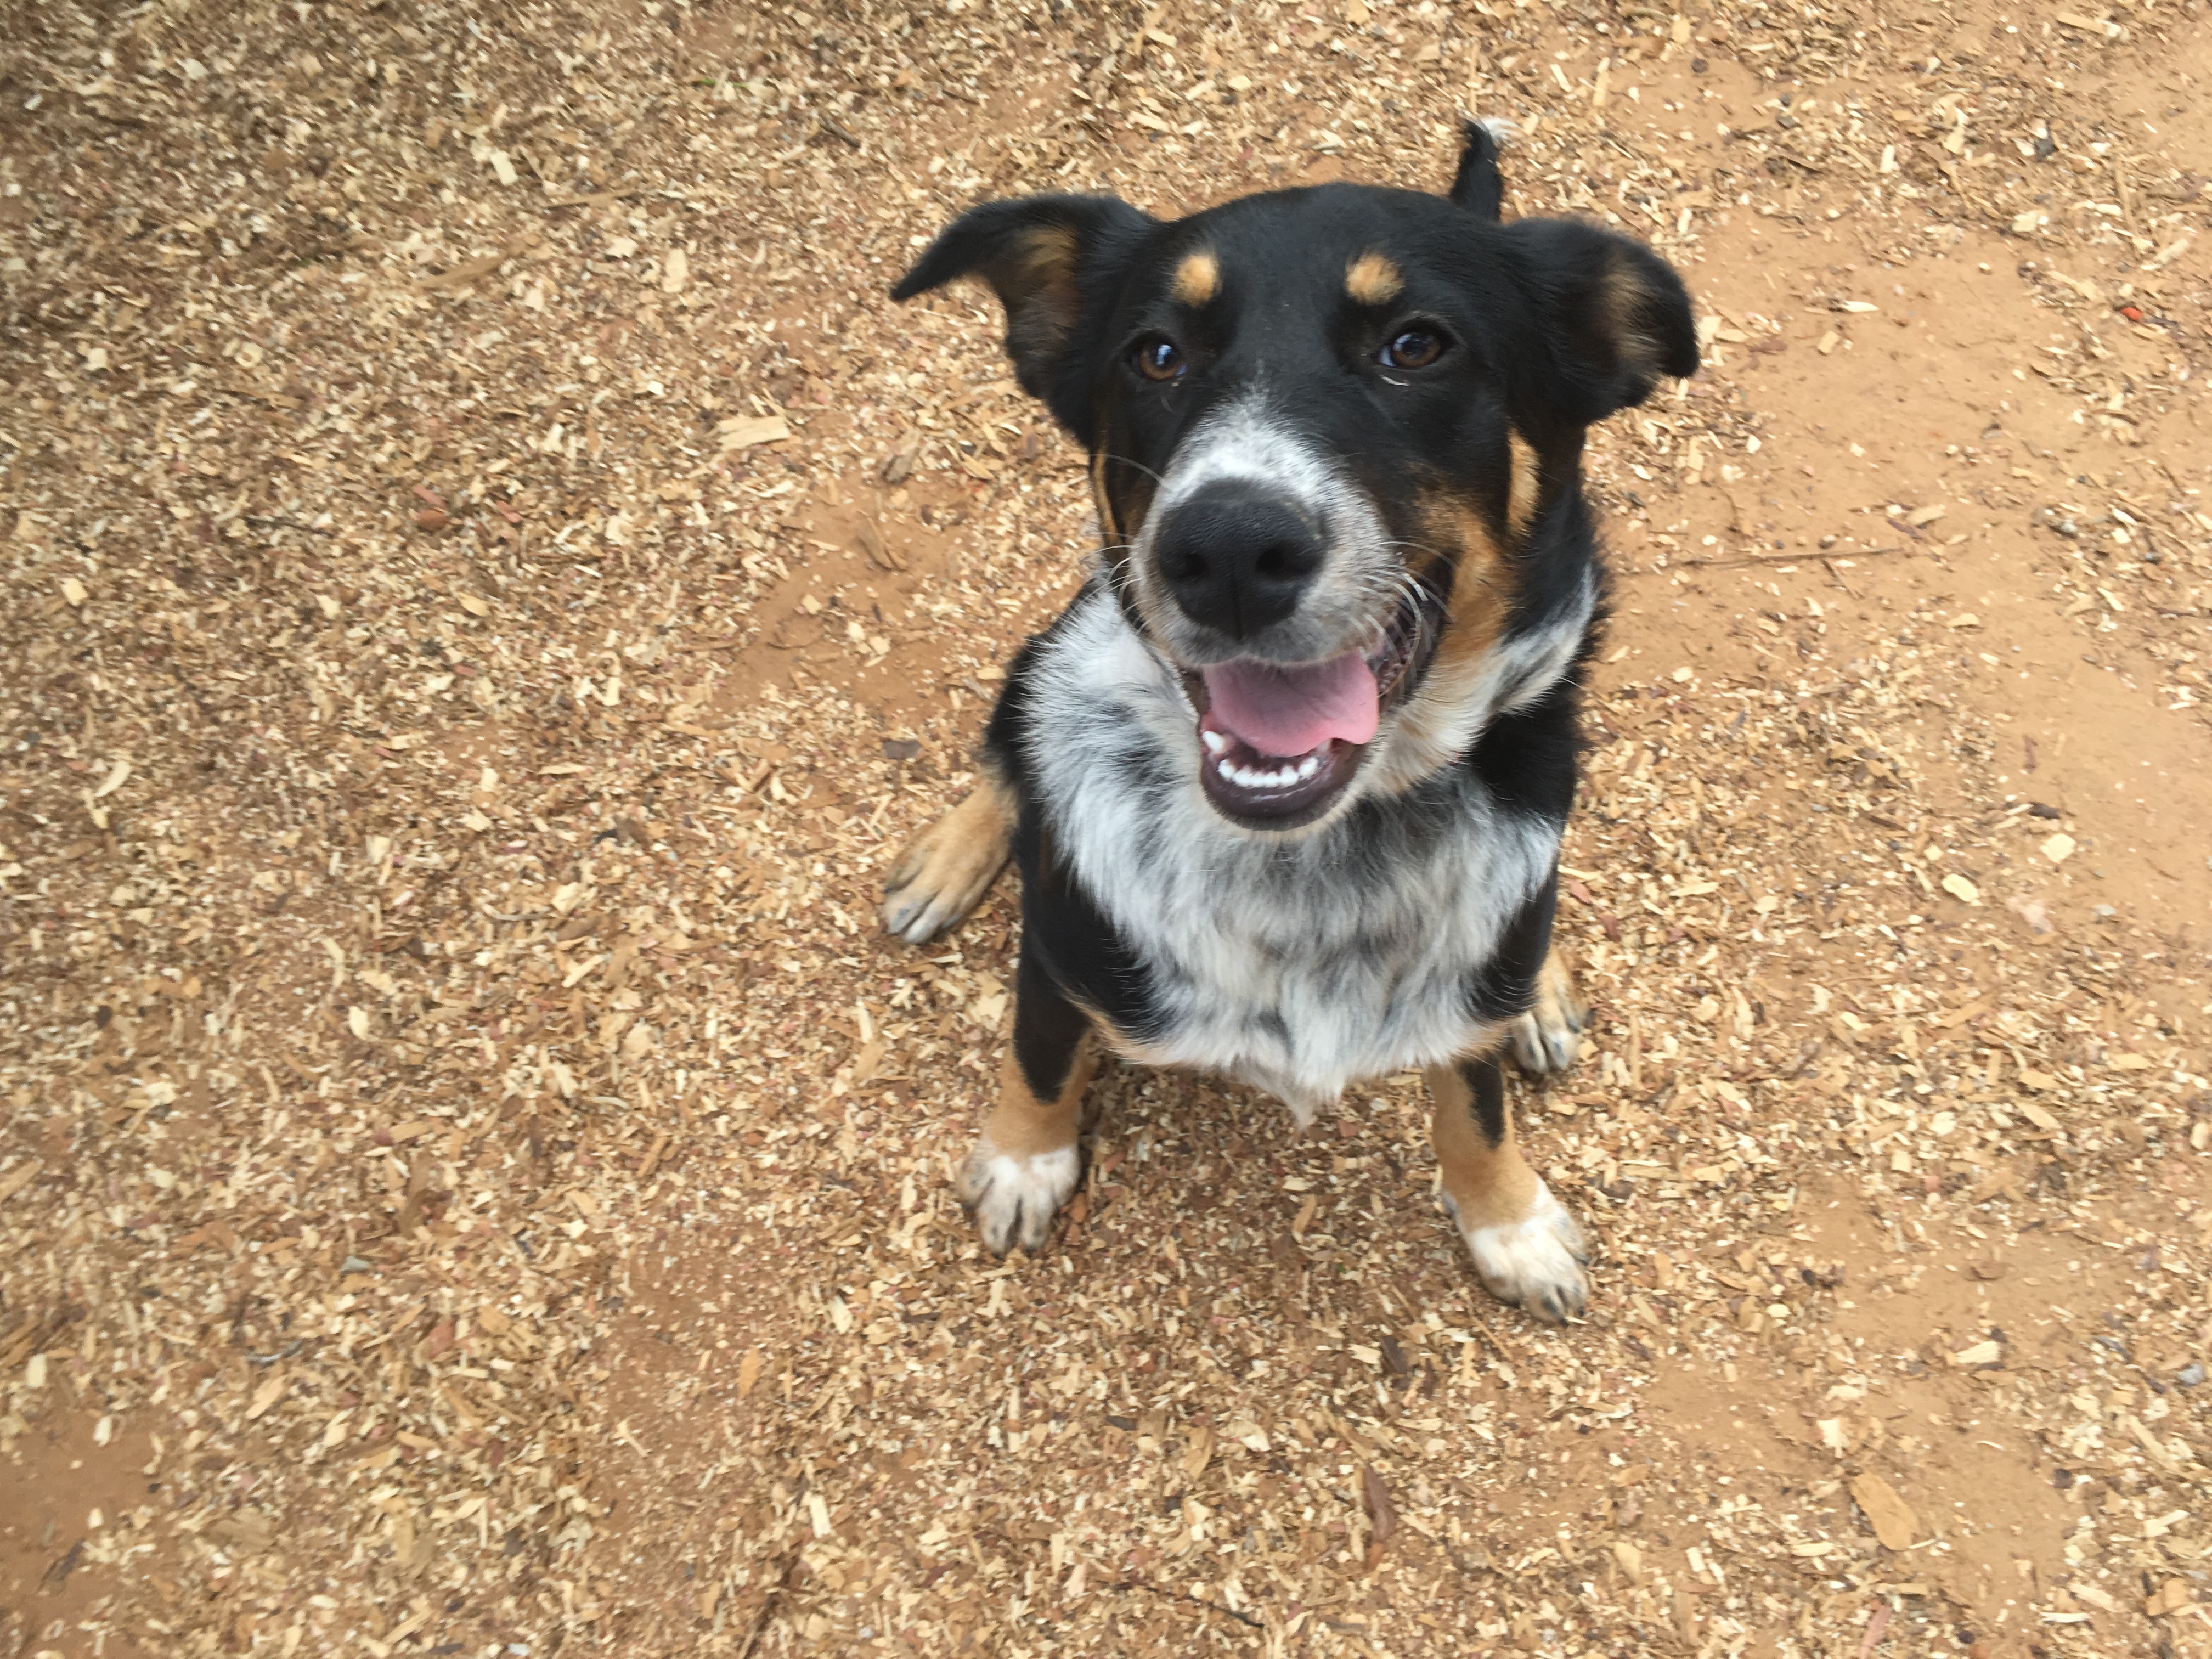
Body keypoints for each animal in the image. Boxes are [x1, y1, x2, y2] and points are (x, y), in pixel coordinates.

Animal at [876, 126, 1690, 1327]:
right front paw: (1025, 1158)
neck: (1316, 857)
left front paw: (1510, 1221)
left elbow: (1474, 1103)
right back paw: (950, 857)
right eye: (1156, 354)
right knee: (1012, 744)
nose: (1225, 548)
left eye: (1416, 345)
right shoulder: (1063, 945)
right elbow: (1037, 1054)